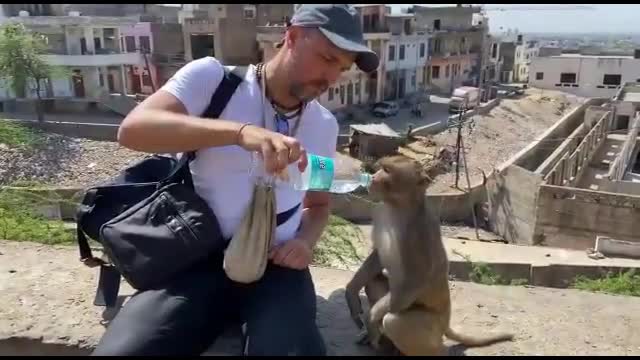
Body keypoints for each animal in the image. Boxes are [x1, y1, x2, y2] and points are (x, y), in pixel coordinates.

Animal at [344, 156, 516, 356]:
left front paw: (370, 319)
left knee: (394, 322)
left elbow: (412, 283)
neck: (398, 207)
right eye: (381, 168)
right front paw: (351, 292)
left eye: (386, 170)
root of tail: (446, 322)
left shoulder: (418, 233)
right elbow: (378, 257)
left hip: (433, 326)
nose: (373, 177)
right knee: (373, 280)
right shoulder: (380, 213)